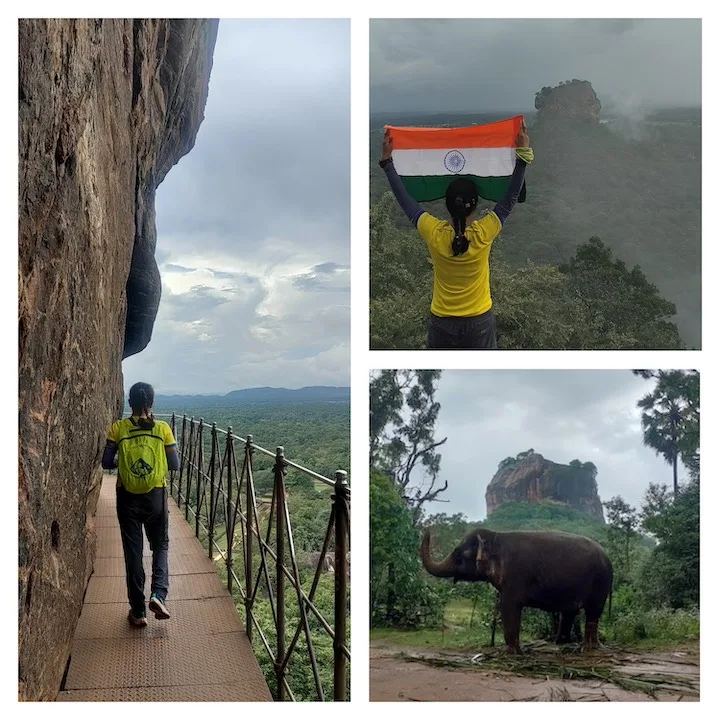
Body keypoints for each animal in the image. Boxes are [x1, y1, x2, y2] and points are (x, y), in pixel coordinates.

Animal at [422, 528, 612, 652]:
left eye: (459, 554)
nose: (426, 528)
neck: (496, 537)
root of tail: (607, 557)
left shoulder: (516, 576)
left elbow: (508, 605)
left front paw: (510, 653)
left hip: (600, 583)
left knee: (593, 612)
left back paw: (588, 647)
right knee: (569, 612)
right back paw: (560, 645)